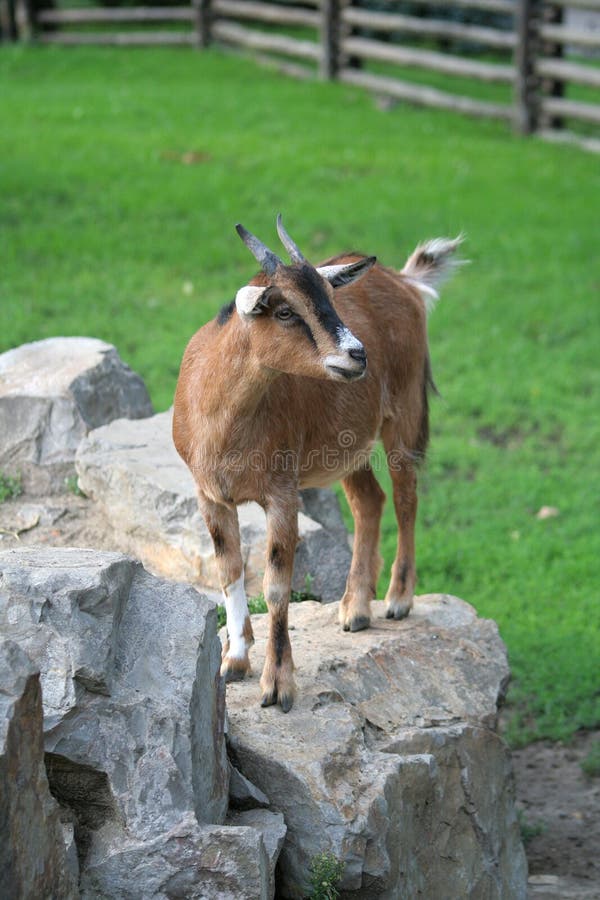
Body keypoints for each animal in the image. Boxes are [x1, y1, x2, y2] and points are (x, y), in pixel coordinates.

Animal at [171, 216, 462, 712]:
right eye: (284, 311)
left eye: (329, 297)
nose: (357, 355)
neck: (221, 421)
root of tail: (405, 282)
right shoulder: (210, 495)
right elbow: (229, 571)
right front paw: (234, 661)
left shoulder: (282, 494)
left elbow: (275, 585)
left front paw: (277, 686)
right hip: (348, 448)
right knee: (370, 502)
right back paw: (355, 609)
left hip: (403, 416)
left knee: (406, 498)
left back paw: (397, 599)